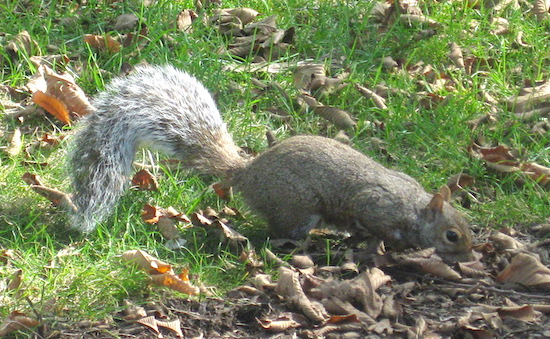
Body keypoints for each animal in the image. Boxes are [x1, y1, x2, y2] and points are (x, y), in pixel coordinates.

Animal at [68, 64, 474, 262]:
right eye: (452, 235)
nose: (469, 255)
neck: (414, 206)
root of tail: (248, 173)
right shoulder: (375, 204)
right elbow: (373, 221)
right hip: (296, 206)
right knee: (281, 231)